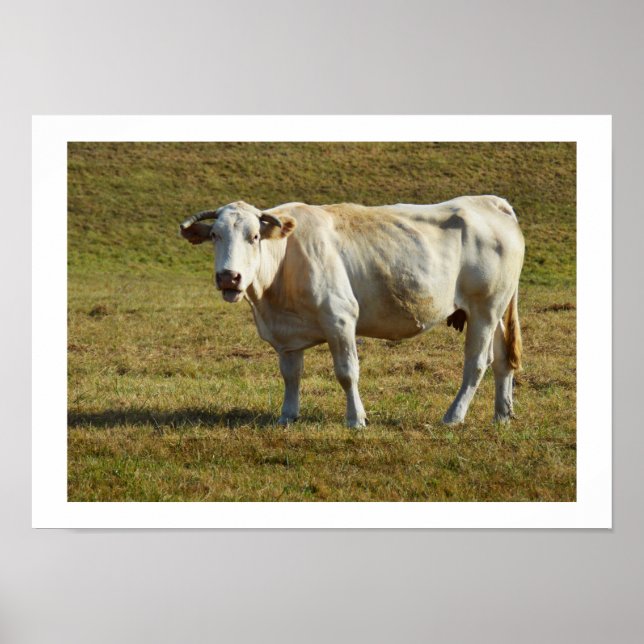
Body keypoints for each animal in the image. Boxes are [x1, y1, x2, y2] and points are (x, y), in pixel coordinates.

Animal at [179, 197, 524, 427]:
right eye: (215, 235)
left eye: (253, 236)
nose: (229, 277)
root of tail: (489, 202)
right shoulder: (287, 334)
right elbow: (291, 375)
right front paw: (287, 416)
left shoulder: (340, 318)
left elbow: (347, 372)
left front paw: (356, 419)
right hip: (497, 309)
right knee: (502, 361)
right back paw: (502, 415)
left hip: (484, 308)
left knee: (477, 364)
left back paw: (453, 416)